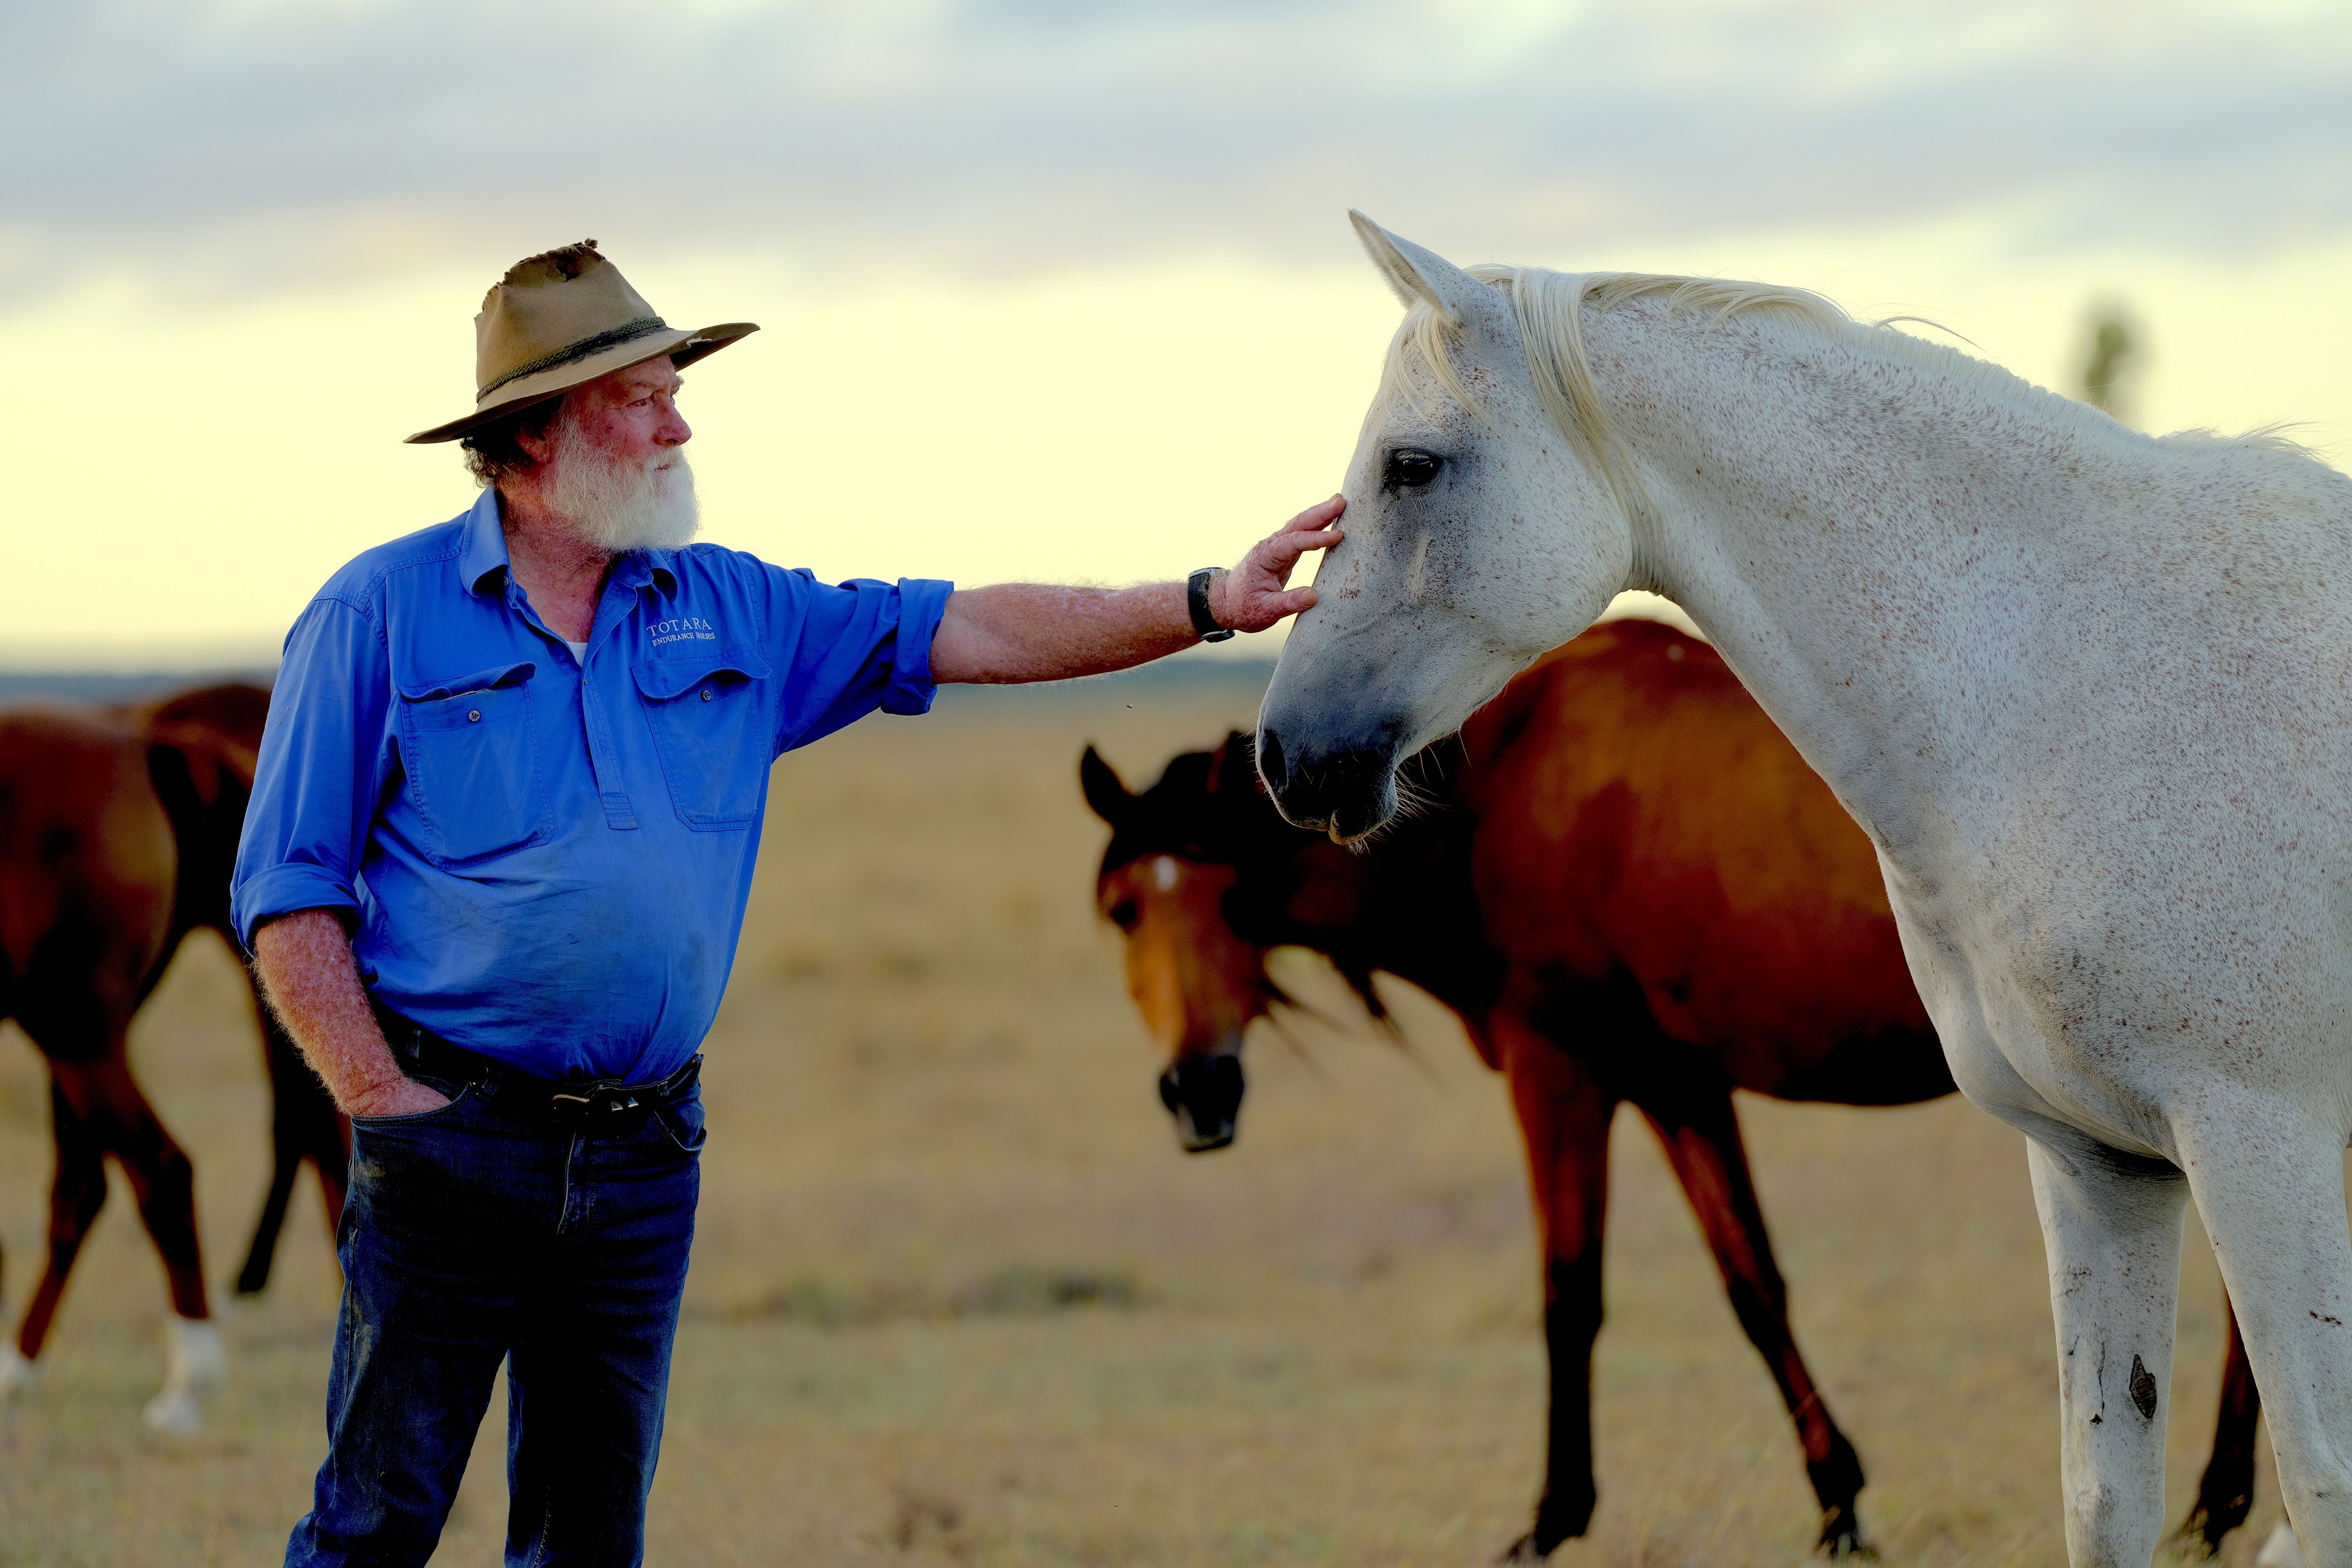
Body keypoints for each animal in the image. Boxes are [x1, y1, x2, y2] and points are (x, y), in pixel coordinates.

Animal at [0, 683, 347, 1431]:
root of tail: (144, 740)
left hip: (75, 1031)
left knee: (161, 1170)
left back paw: (191, 1381)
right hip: (82, 1037)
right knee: (86, 1186)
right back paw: (20, 1369)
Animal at [1088, 619, 2279, 1560]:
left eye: (1217, 900)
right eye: (1122, 909)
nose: (1196, 1093)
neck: (1501, 789)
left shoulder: (1559, 1076)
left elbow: (1570, 1295)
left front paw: (1554, 1517)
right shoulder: (1676, 1089)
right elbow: (1753, 1286)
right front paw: (1839, 1505)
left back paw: (2217, 1506)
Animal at [1252, 212, 2352, 1566]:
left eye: (1412, 466)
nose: (1284, 754)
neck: (2066, 681)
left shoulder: (2263, 1145)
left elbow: (2321, 1487)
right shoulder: (2101, 1163)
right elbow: (2105, 1498)